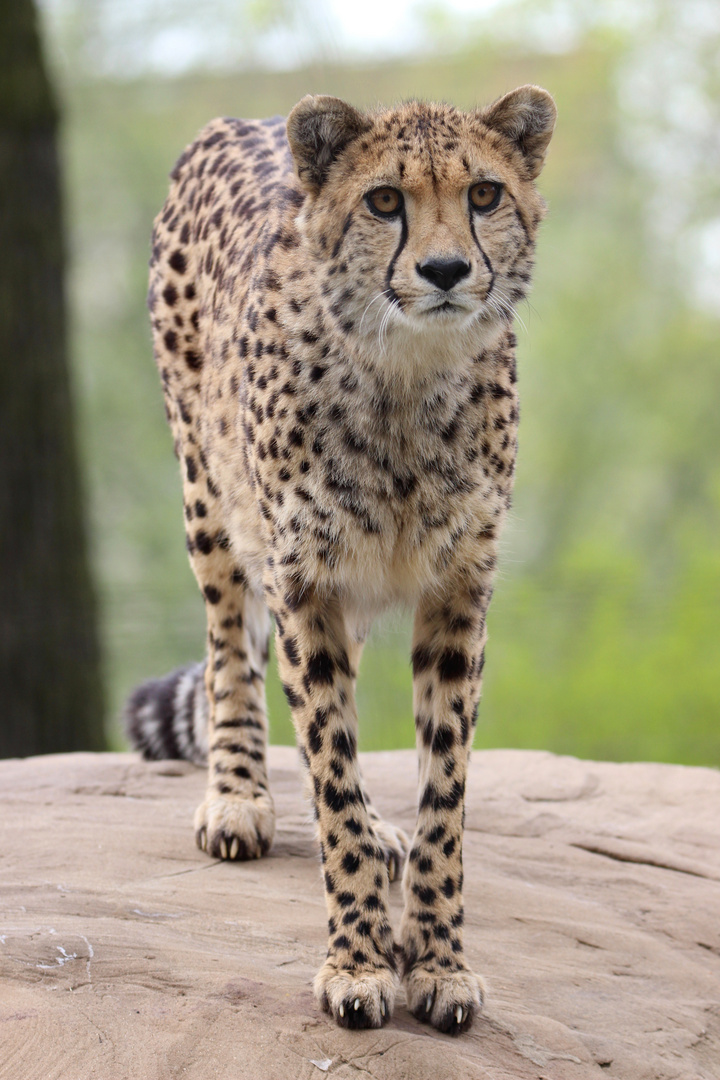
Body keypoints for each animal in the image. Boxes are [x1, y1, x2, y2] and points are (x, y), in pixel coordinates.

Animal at [126, 84, 557, 1028]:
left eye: (484, 194)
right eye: (385, 201)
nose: (445, 271)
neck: (406, 374)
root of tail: (241, 120)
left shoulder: (456, 590)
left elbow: (444, 792)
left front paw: (437, 961)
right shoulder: (306, 581)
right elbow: (326, 761)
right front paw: (357, 963)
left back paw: (374, 825)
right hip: (209, 494)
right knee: (232, 651)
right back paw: (239, 798)